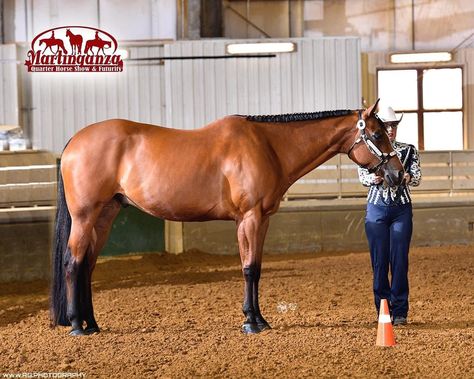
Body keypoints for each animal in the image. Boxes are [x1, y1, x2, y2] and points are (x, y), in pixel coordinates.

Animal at [50, 99, 402, 336]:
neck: (268, 146)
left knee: (87, 266)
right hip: (85, 217)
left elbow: (256, 268)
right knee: (73, 262)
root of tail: (74, 142)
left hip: (105, 216)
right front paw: (251, 323)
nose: (398, 174)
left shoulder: (261, 220)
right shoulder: (249, 218)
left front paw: (258, 319)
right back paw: (77, 326)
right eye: (377, 135)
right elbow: (248, 269)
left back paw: (92, 323)